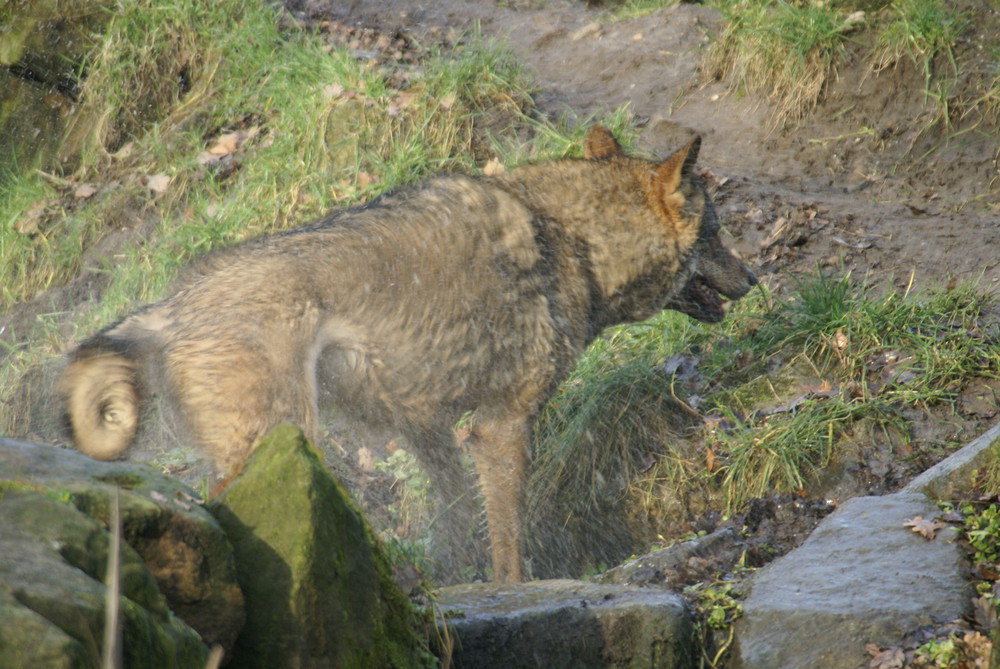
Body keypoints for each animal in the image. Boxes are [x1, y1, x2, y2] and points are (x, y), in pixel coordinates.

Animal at [62, 125, 756, 580]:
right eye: (718, 232)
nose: (754, 279)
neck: (571, 241)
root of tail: (170, 307)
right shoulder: (500, 426)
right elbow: (509, 544)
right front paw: (513, 589)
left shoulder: (429, 429)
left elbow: (458, 522)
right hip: (281, 440)